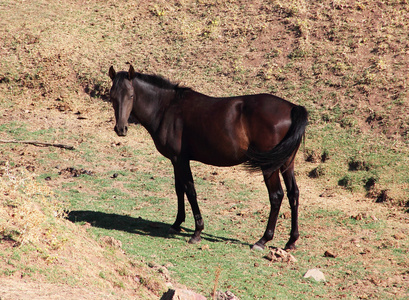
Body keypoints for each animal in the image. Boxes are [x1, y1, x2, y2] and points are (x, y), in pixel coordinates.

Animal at [107, 65, 306, 251]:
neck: (167, 108)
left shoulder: (180, 159)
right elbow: (179, 189)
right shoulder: (175, 160)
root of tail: (292, 108)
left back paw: (263, 240)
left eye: (131, 95)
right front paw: (177, 223)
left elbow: (190, 190)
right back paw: (291, 241)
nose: (121, 129)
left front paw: (197, 232)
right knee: (293, 194)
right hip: (286, 164)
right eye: (112, 96)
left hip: (270, 167)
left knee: (276, 196)